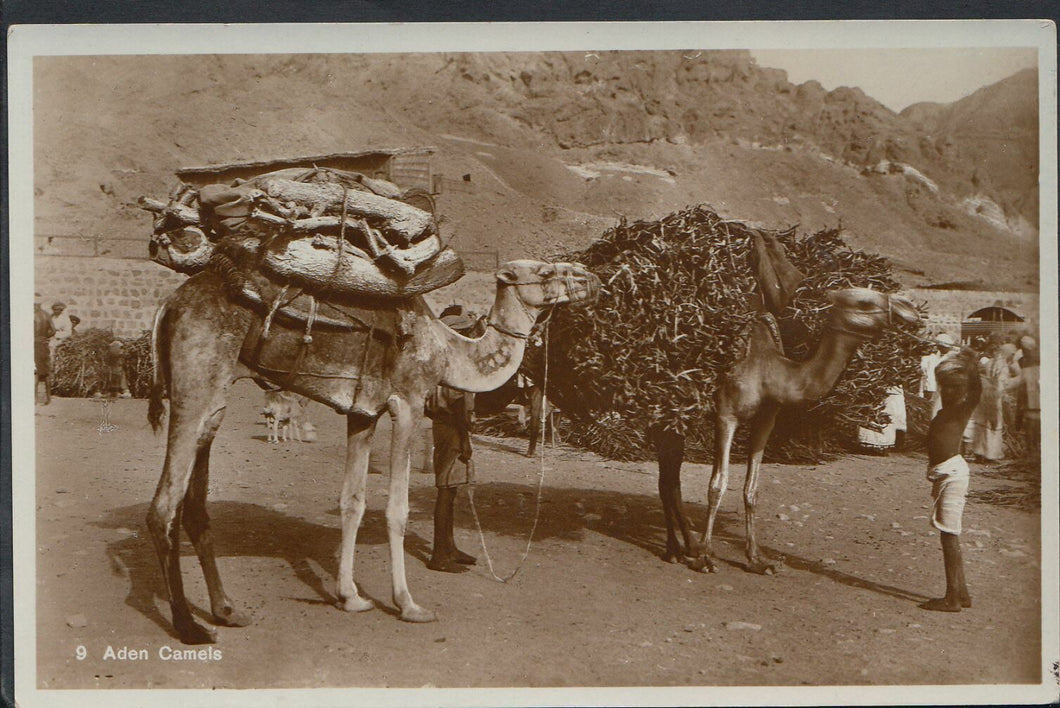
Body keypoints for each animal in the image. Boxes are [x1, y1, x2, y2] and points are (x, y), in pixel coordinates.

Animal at [146, 259, 599, 644]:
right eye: (545, 271)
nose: (589, 278)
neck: (448, 349)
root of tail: (169, 304)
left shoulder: (361, 413)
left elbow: (353, 501)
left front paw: (350, 596)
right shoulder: (408, 404)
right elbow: (396, 510)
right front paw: (409, 605)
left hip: (214, 401)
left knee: (195, 504)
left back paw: (227, 611)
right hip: (196, 382)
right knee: (163, 506)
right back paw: (189, 627)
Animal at [656, 287, 920, 574]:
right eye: (864, 302)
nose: (910, 311)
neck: (769, 370)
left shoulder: (766, 420)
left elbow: (752, 489)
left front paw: (756, 559)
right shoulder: (726, 415)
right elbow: (717, 485)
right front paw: (705, 557)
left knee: (669, 477)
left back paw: (683, 547)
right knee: (668, 478)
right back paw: (679, 549)